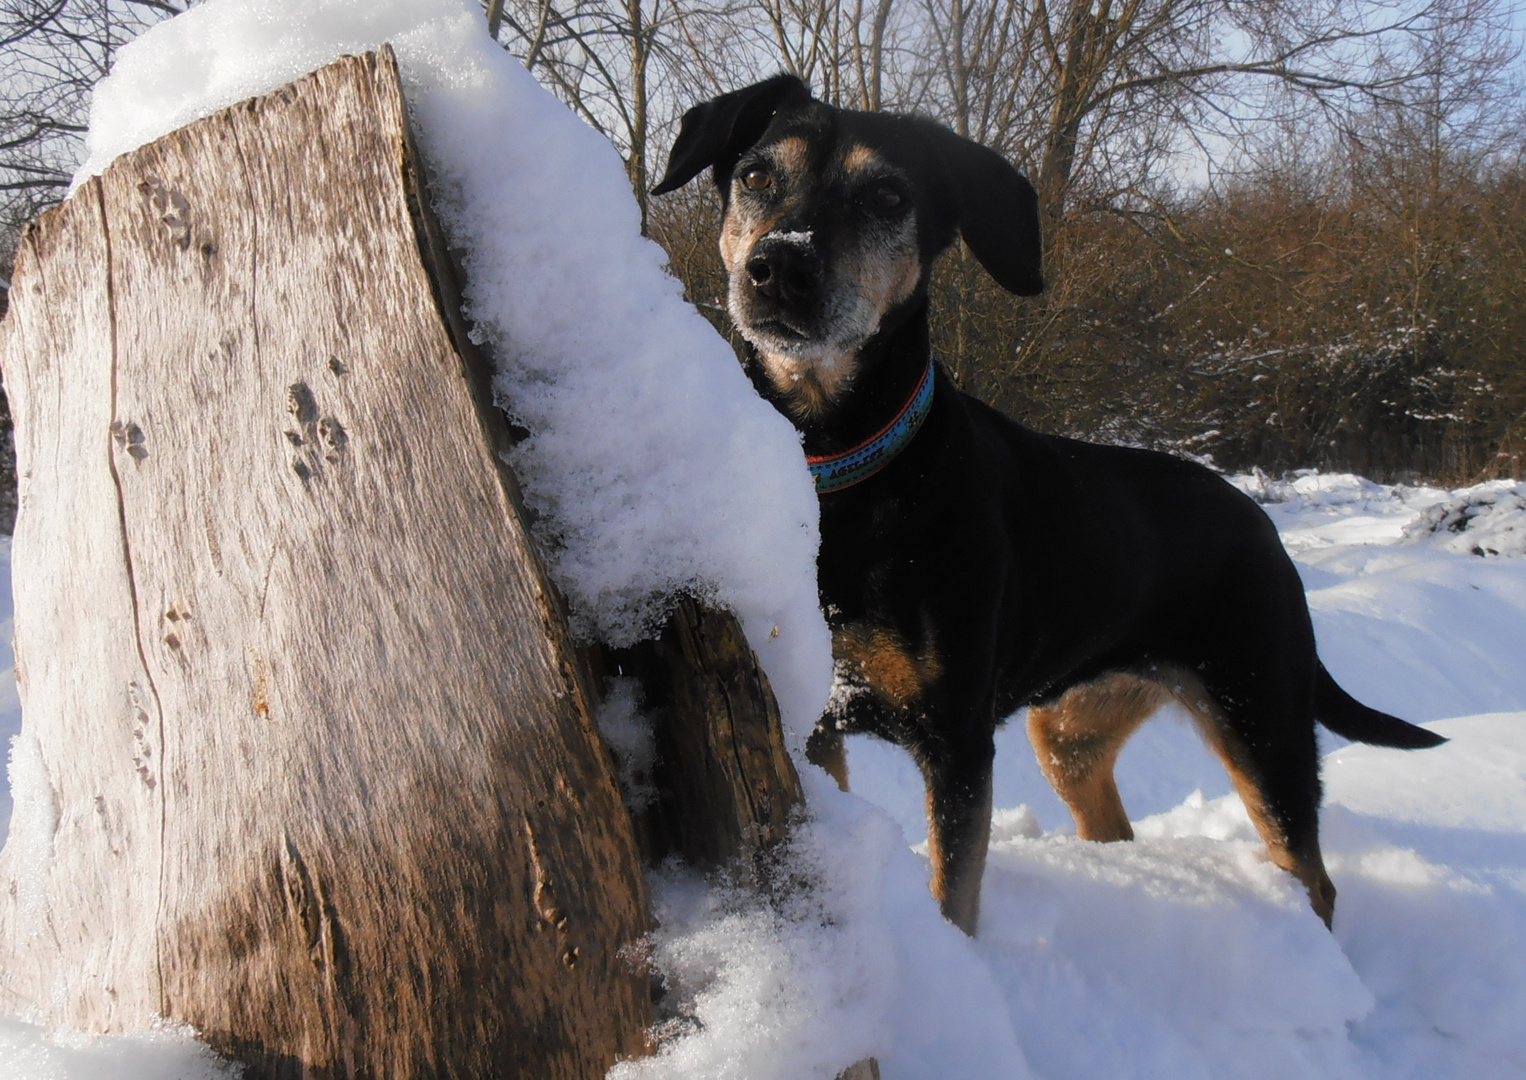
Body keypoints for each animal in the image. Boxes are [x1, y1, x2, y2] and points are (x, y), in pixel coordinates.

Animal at [653, 73, 1440, 933]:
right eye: (756, 175)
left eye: (888, 195)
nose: (779, 266)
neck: (842, 472)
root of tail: (1262, 525)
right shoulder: (810, 720)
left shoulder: (957, 742)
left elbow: (953, 899)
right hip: (1069, 729)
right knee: (1112, 824)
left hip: (1261, 714)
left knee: (1312, 876)